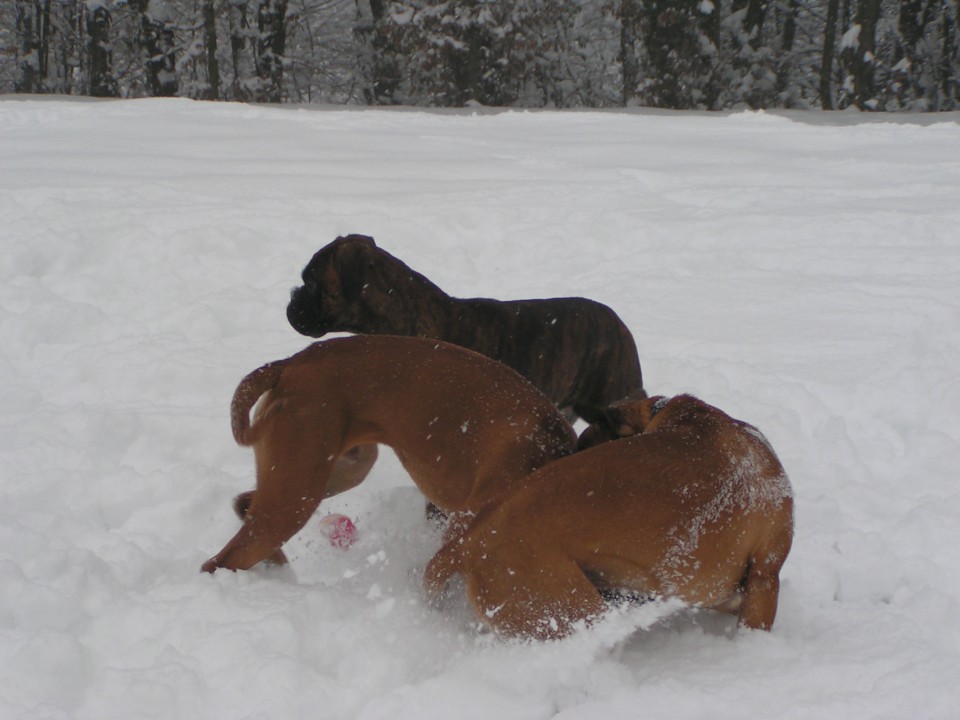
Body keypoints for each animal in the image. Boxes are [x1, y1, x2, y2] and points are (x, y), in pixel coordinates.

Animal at [201, 334, 576, 576]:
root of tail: (289, 364)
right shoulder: (463, 529)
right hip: (295, 494)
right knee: (220, 561)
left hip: (342, 469)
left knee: (244, 505)